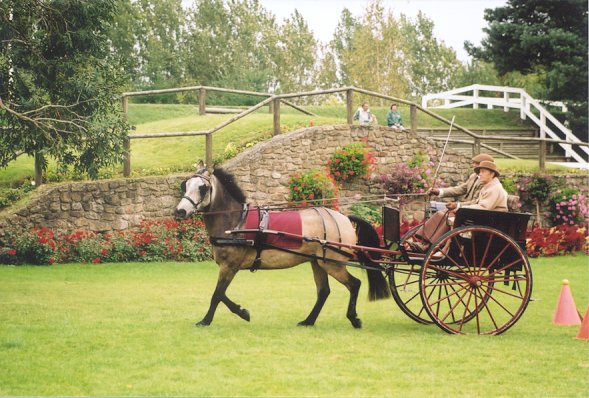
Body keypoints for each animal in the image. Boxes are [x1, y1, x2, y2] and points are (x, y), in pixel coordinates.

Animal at [173, 163, 386, 328]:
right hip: (317, 262)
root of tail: (344, 218)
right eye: (186, 184)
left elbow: (217, 294)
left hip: (332, 263)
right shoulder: (229, 267)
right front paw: (242, 312)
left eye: (202, 187)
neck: (235, 222)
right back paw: (308, 321)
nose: (180, 212)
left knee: (354, 284)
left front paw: (207, 320)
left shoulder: (229, 266)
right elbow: (221, 294)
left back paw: (353, 318)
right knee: (324, 291)